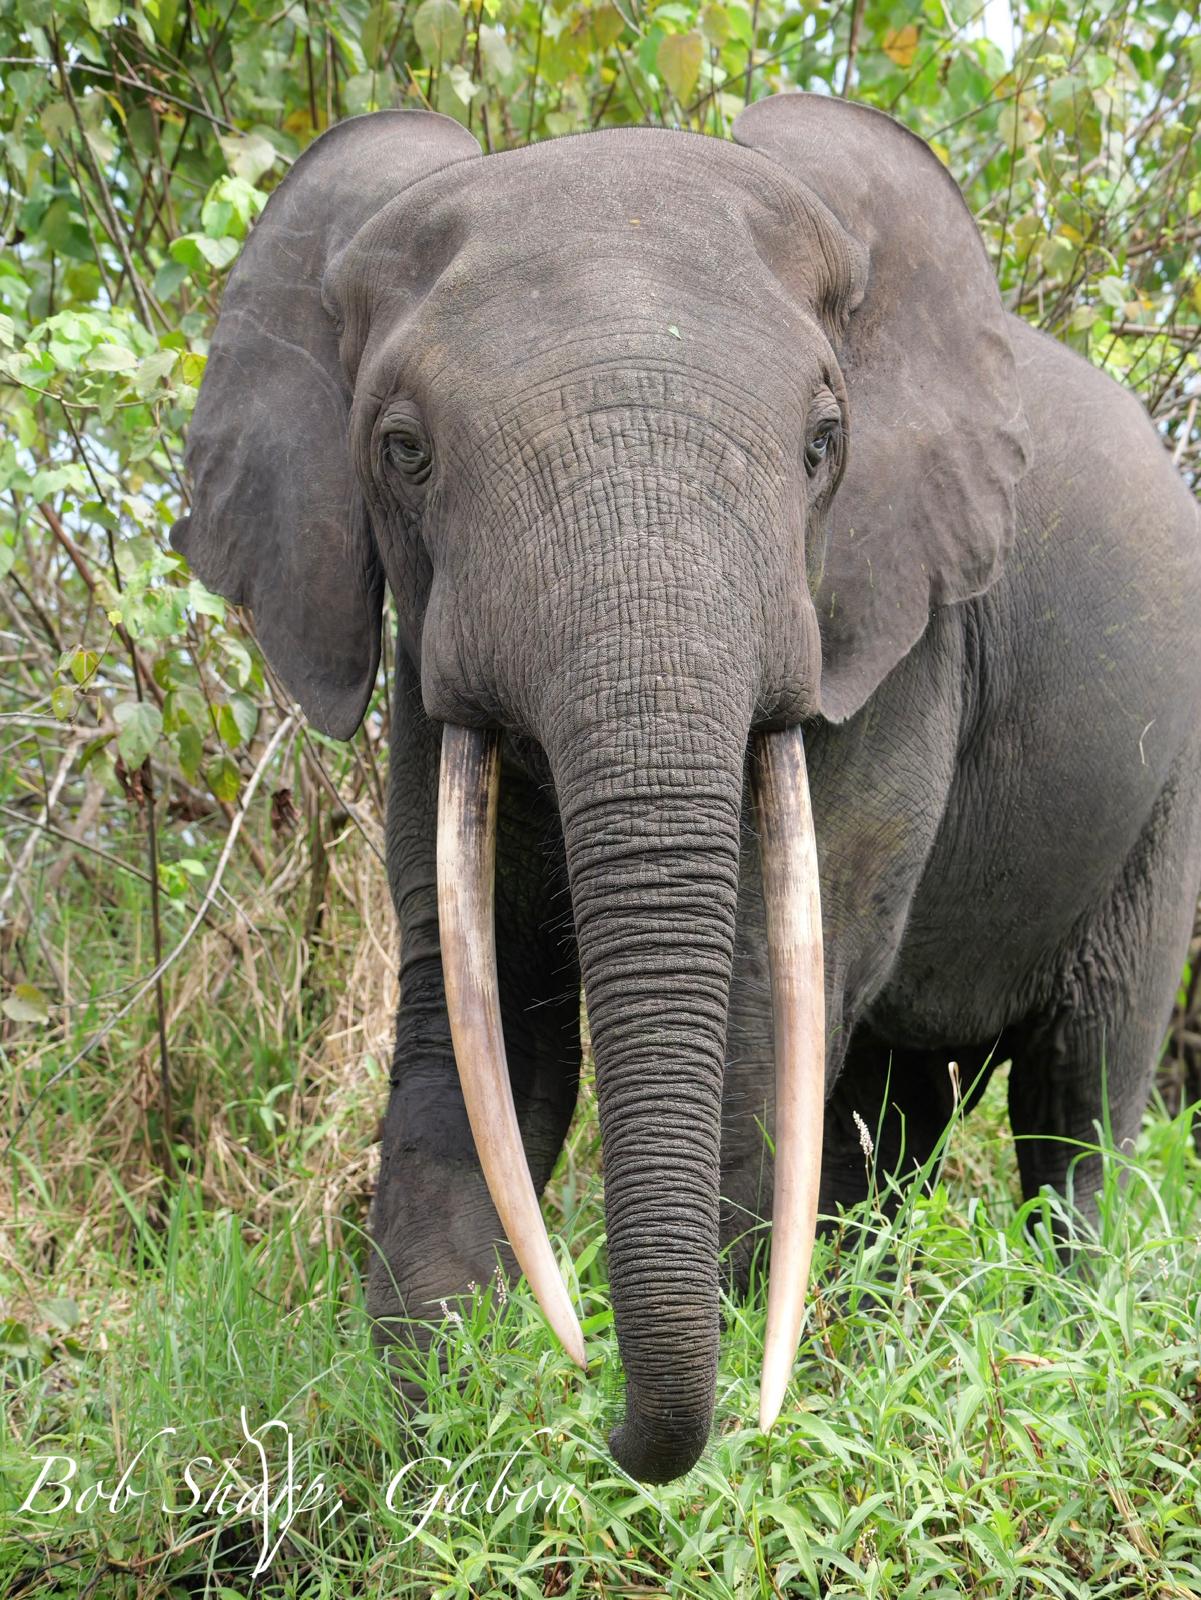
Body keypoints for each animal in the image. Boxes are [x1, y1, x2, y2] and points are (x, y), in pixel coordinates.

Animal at [172, 93, 1201, 1486]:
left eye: (823, 446)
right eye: (401, 451)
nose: (598, 1411)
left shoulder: (893, 638)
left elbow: (765, 1004)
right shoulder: (423, 676)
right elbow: (478, 1008)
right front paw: (443, 1458)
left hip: (1165, 788)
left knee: (1079, 1090)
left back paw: (1050, 1330)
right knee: (895, 1099)